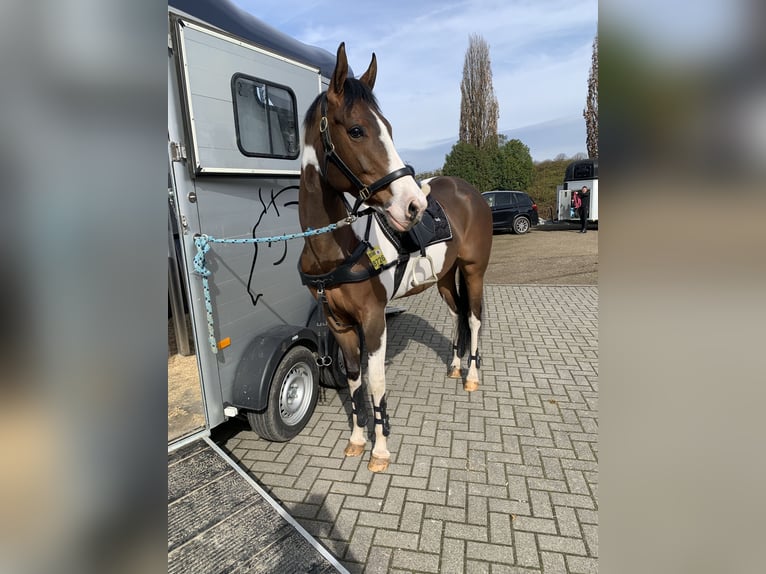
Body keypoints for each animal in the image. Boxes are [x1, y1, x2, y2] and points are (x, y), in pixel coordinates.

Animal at [296, 41, 496, 472]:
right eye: (357, 130)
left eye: (388, 128)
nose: (414, 206)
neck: (335, 249)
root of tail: (471, 192)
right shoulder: (339, 325)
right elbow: (354, 380)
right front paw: (357, 439)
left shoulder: (373, 320)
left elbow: (376, 383)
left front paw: (381, 449)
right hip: (444, 279)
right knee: (457, 315)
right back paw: (455, 367)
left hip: (474, 271)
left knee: (473, 318)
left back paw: (472, 376)